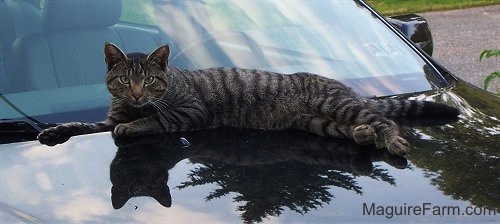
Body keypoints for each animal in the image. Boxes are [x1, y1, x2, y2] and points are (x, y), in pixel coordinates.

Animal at [38, 42, 460, 156]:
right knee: (357, 128)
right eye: (125, 80)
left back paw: (393, 141)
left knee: (386, 120)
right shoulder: (106, 117)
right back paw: (361, 135)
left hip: (335, 105)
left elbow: (151, 120)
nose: (138, 94)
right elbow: (84, 124)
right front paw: (56, 130)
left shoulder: (188, 112)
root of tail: (346, 87)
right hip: (321, 122)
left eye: (150, 81)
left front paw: (133, 125)